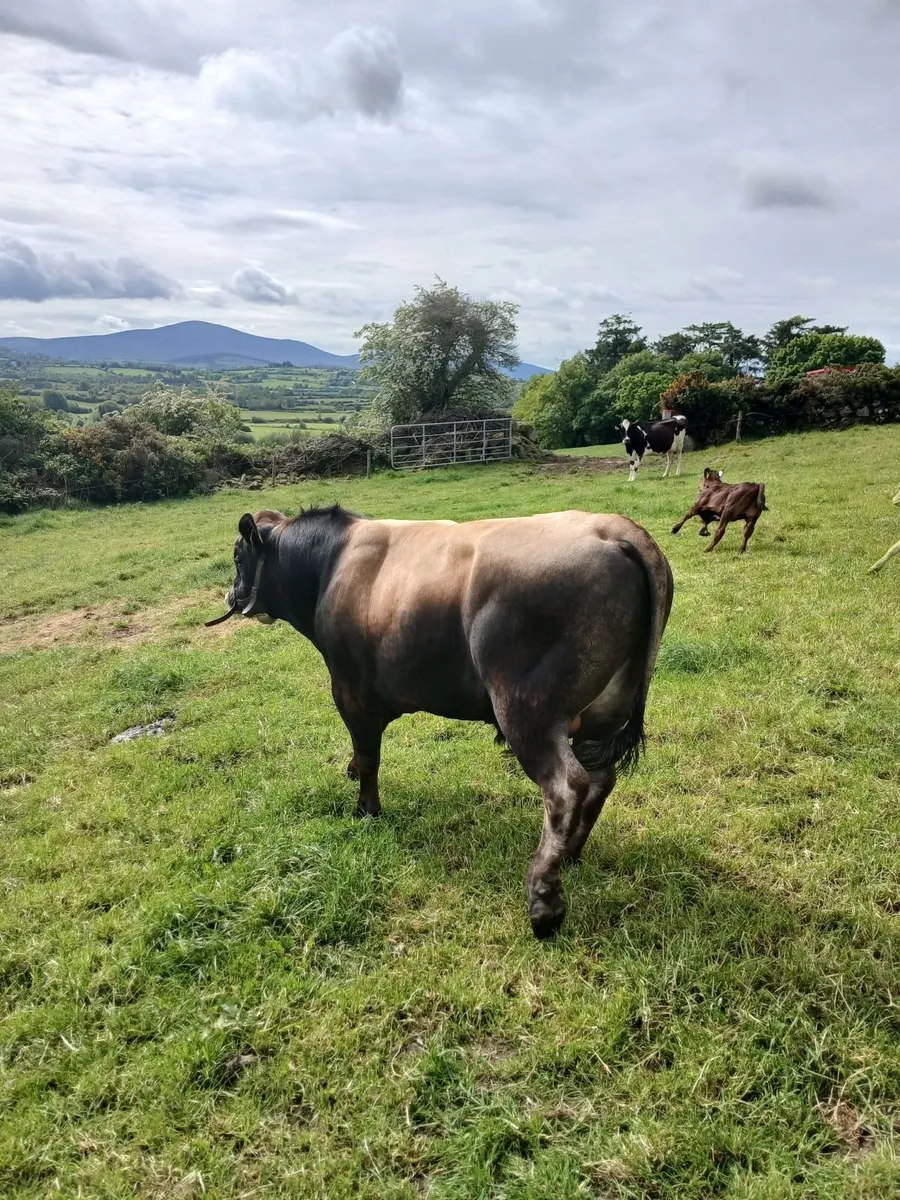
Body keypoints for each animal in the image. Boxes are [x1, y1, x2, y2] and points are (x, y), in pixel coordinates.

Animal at [207, 505, 674, 939]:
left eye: (237, 555)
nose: (232, 597)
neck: (331, 565)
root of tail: (613, 528)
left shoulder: (350, 689)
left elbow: (368, 754)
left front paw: (366, 811)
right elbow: (362, 754)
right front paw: (353, 774)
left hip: (528, 709)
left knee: (566, 787)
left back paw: (544, 903)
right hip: (602, 713)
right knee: (599, 780)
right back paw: (573, 855)